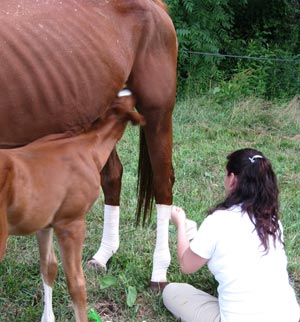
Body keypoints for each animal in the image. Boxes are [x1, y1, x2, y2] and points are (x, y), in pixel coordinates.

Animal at [0, 0, 177, 286]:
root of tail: (156, 6)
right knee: (113, 175)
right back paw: (103, 256)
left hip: (157, 112)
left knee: (162, 184)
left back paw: (159, 271)